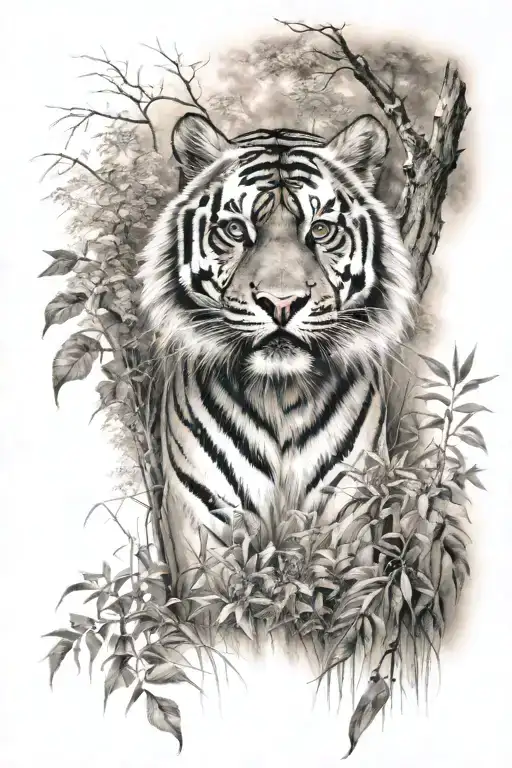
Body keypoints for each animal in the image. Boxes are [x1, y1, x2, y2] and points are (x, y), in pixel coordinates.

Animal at [139, 111, 415, 566]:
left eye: (320, 230)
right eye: (236, 229)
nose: (282, 303)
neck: (280, 396)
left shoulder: (351, 517)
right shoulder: (204, 523)